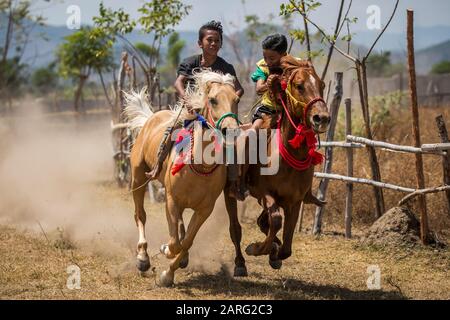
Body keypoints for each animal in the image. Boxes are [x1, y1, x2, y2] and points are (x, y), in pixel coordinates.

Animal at [124, 70, 239, 288]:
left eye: (236, 99)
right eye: (213, 100)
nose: (231, 130)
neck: (200, 166)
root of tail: (150, 118)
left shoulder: (204, 210)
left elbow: (186, 242)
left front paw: (167, 274)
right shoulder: (171, 201)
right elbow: (175, 242)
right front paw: (165, 251)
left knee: (179, 228)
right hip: (137, 178)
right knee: (140, 215)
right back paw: (142, 258)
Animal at [225, 55, 330, 276]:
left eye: (322, 85)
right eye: (299, 85)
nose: (322, 118)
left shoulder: (295, 201)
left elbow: (286, 246)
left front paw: (274, 253)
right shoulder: (265, 193)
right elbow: (275, 221)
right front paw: (256, 248)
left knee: (262, 223)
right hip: (230, 193)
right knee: (235, 228)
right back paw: (240, 263)